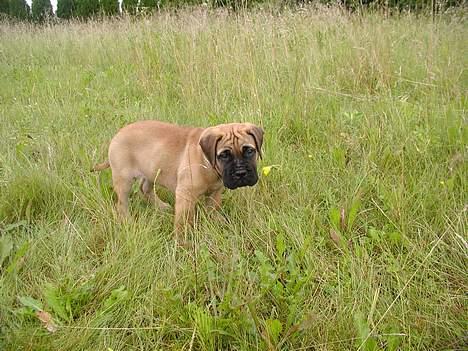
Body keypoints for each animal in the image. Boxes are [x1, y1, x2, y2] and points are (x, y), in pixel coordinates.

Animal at [92, 121, 264, 231]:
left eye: (250, 151)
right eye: (224, 155)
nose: (240, 173)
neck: (207, 162)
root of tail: (118, 134)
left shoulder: (215, 193)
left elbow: (212, 209)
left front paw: (217, 221)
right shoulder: (185, 195)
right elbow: (183, 221)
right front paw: (182, 243)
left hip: (152, 170)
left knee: (144, 189)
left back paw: (162, 207)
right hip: (124, 180)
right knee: (122, 204)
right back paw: (128, 222)